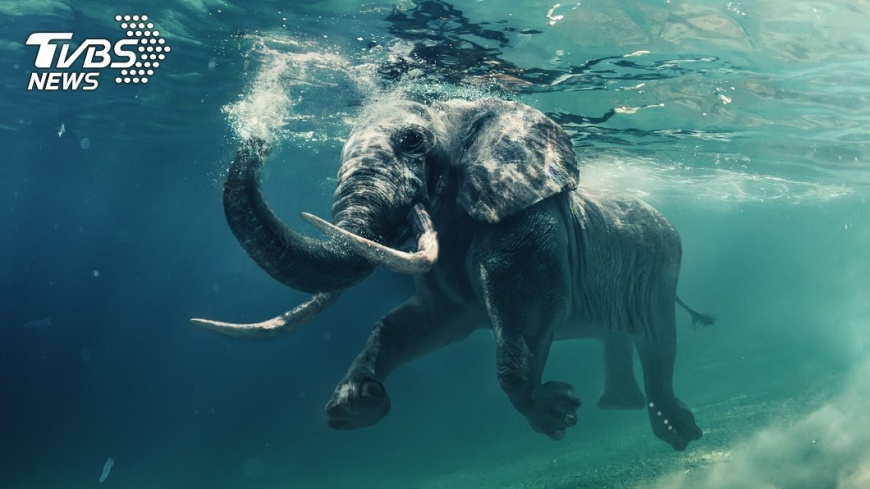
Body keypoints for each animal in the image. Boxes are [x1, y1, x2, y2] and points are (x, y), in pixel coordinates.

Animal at [192, 98, 714, 451]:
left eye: (412, 142)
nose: (259, 138)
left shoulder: (527, 225)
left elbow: (527, 312)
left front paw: (556, 414)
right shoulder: (446, 283)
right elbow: (415, 323)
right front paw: (355, 406)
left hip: (662, 268)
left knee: (658, 342)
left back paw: (678, 433)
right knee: (621, 337)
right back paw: (622, 408)